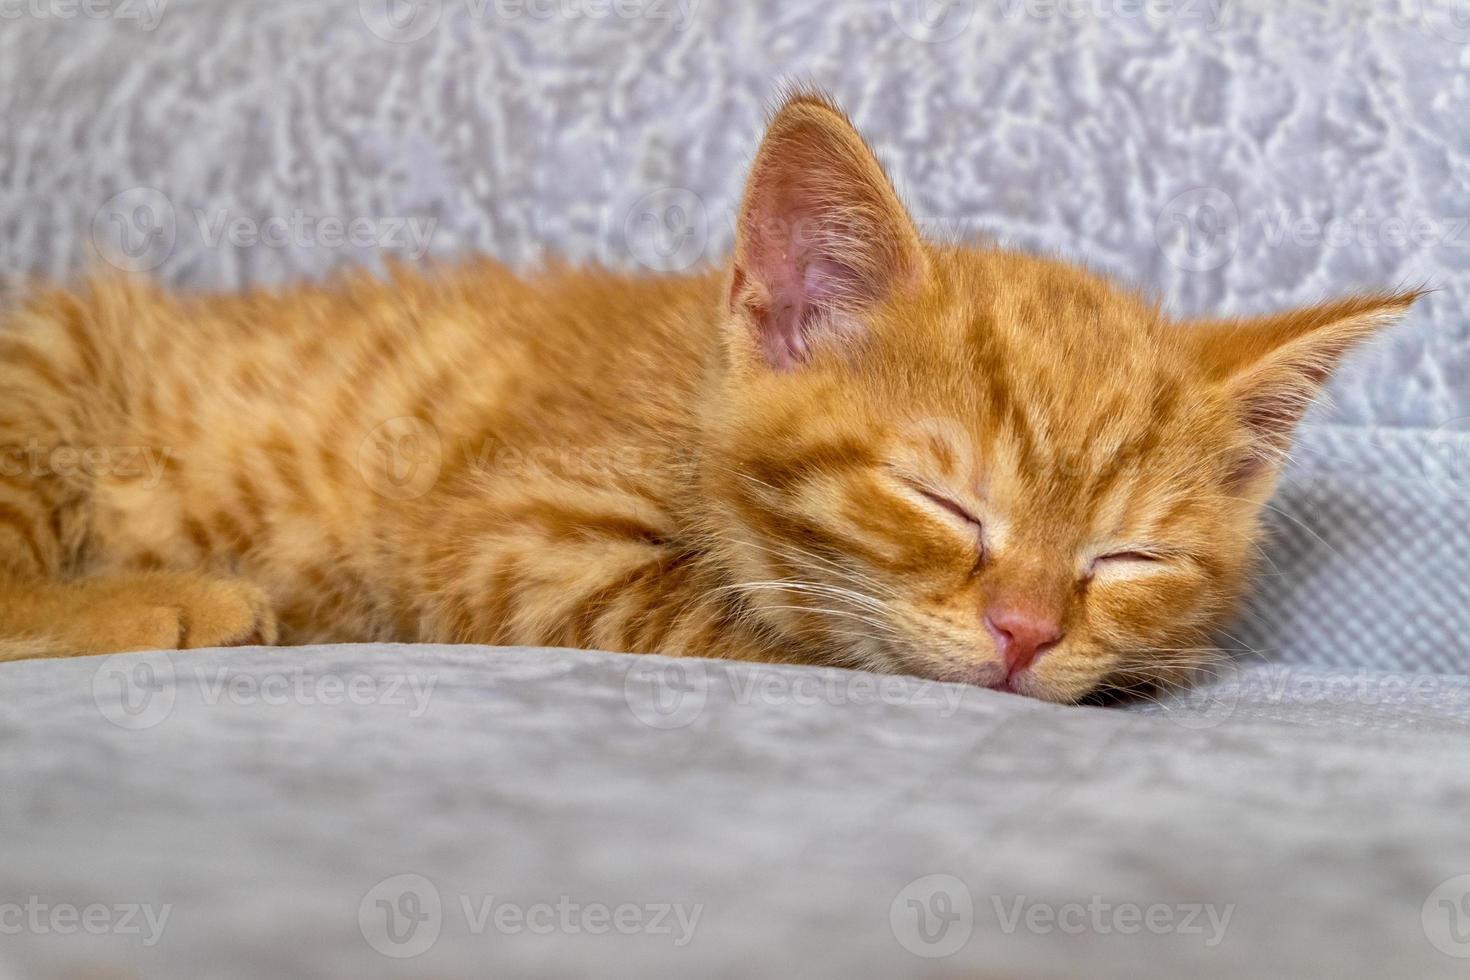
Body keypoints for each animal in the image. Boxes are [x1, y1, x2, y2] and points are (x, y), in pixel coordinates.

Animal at [2, 91, 1422, 702]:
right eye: (941, 500)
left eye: (1128, 556)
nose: (1026, 631)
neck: (684, 395)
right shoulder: (511, 539)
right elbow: (765, 623)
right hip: (51, 362)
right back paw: (176, 599)